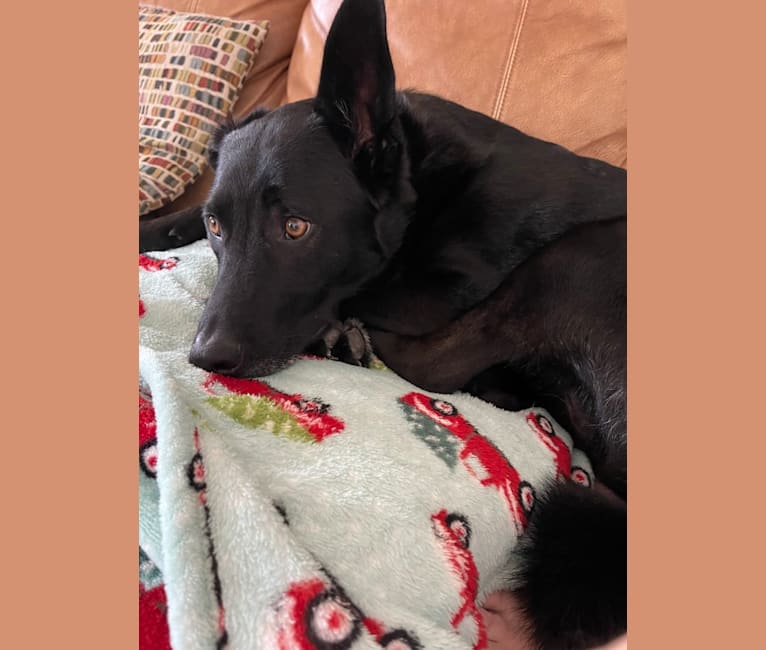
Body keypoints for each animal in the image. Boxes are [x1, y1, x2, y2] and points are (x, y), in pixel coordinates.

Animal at [141, 1, 628, 644]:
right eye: (217, 228)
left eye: (295, 227)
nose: (205, 356)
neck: (421, 183)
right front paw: (153, 225)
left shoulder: (437, 291)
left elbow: (366, 294)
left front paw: (340, 326)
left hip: (578, 253)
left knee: (438, 368)